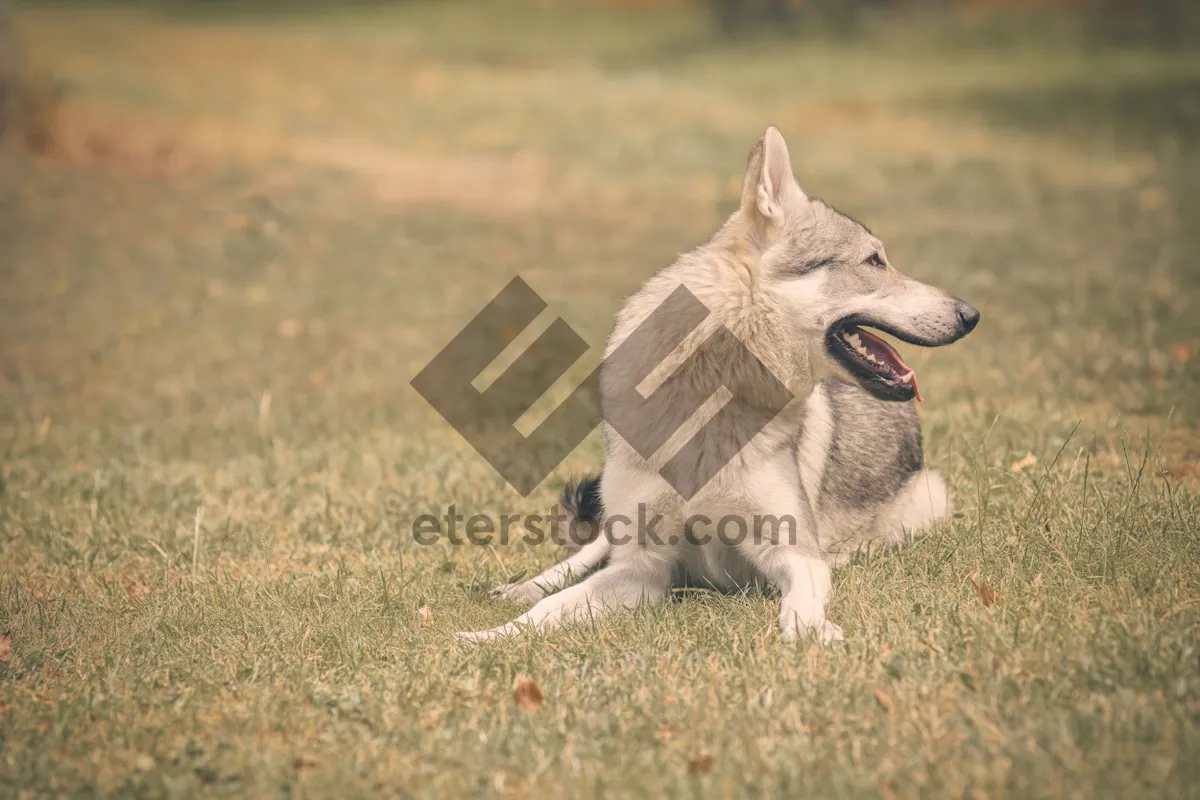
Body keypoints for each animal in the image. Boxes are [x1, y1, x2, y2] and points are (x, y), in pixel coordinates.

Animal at [453, 128, 979, 647]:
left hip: (929, 499)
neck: (710, 407)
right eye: (874, 260)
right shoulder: (640, 569)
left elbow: (802, 601)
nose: (971, 314)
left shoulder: (792, 552)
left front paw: (811, 631)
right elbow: (549, 608)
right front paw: (485, 637)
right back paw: (516, 589)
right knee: (579, 556)